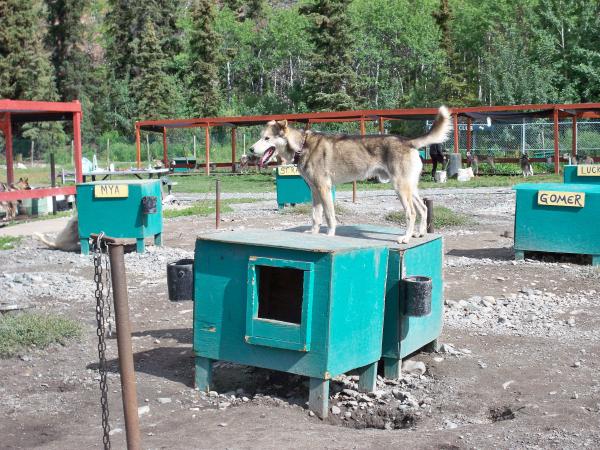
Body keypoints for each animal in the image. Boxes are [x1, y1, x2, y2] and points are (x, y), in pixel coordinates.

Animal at [248, 105, 450, 243]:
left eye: (267, 138)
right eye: (260, 137)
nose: (250, 149)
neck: (302, 146)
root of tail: (408, 141)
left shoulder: (324, 189)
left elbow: (329, 216)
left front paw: (330, 235)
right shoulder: (314, 191)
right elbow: (315, 216)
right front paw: (313, 233)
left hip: (400, 189)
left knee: (411, 213)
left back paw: (406, 237)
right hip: (410, 189)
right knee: (423, 208)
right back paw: (420, 233)